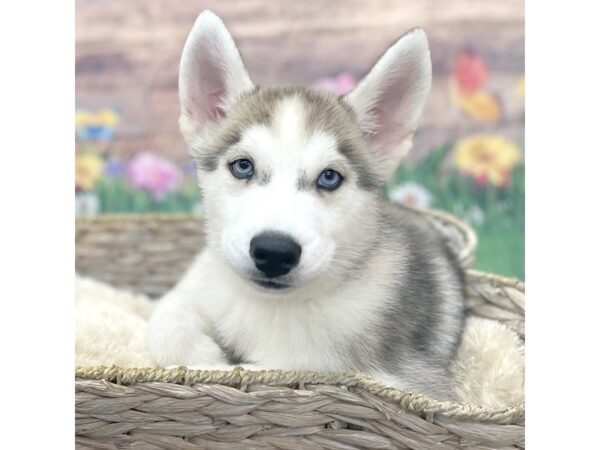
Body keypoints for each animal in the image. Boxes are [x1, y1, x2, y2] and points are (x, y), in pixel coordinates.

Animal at [149, 10, 464, 400]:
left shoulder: (407, 378)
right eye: (243, 166)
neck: (269, 307)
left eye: (329, 177)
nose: (274, 251)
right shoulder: (201, 282)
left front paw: (216, 363)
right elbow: (164, 319)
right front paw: (204, 354)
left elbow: (274, 368)